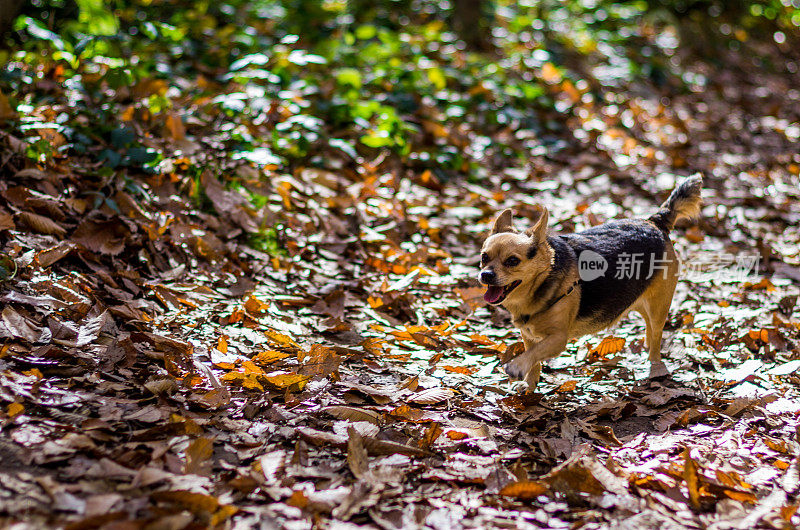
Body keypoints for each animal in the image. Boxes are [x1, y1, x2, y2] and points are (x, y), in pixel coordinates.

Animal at [478, 175, 704, 386]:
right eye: (484, 257)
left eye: (512, 261)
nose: (486, 275)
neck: (541, 283)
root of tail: (654, 222)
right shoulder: (529, 336)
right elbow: (534, 362)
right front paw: (529, 386)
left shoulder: (557, 339)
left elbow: (533, 354)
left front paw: (517, 366)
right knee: (649, 328)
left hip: (659, 306)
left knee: (657, 337)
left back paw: (654, 366)